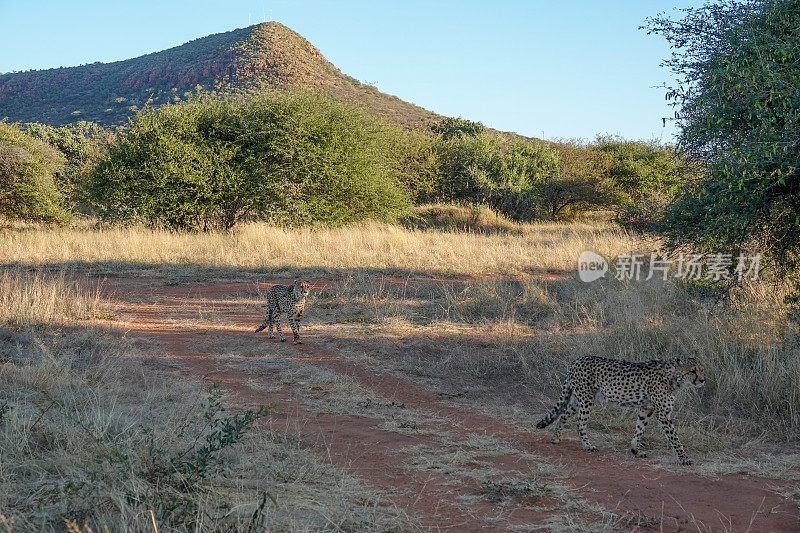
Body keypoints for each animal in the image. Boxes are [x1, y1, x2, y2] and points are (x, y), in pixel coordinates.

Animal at [536, 356, 708, 464]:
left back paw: (556, 438)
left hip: (578, 399)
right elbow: (675, 438)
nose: (702, 380)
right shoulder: (663, 413)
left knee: (563, 414)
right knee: (580, 423)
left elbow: (639, 430)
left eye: (702, 370)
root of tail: (577, 359)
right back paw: (588, 446)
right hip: (586, 399)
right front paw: (684, 458)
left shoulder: (646, 408)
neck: (672, 376)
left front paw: (635, 450)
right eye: (692, 371)